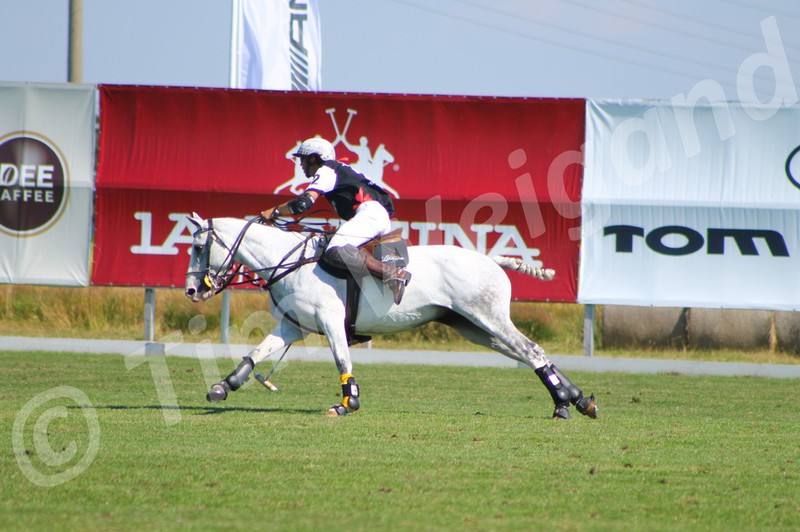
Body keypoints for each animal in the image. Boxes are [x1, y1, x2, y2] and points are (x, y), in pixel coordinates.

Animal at [183, 215, 598, 420]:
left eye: (199, 245)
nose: (192, 290)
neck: (290, 262)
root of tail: (490, 258)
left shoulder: (330, 321)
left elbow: (342, 362)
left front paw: (347, 403)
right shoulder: (293, 325)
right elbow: (257, 353)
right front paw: (223, 386)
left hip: (489, 318)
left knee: (531, 350)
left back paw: (563, 404)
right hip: (474, 327)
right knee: (529, 354)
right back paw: (578, 399)